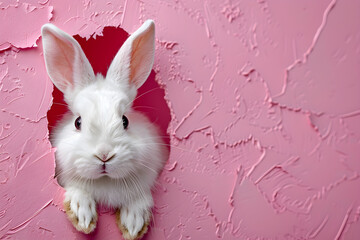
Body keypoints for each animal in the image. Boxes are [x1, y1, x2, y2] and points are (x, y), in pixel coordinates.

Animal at [41, 20, 168, 240]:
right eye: (78, 122)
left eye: (125, 121)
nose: (104, 155)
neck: (106, 182)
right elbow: (78, 190)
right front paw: (82, 216)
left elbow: (139, 197)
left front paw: (133, 224)